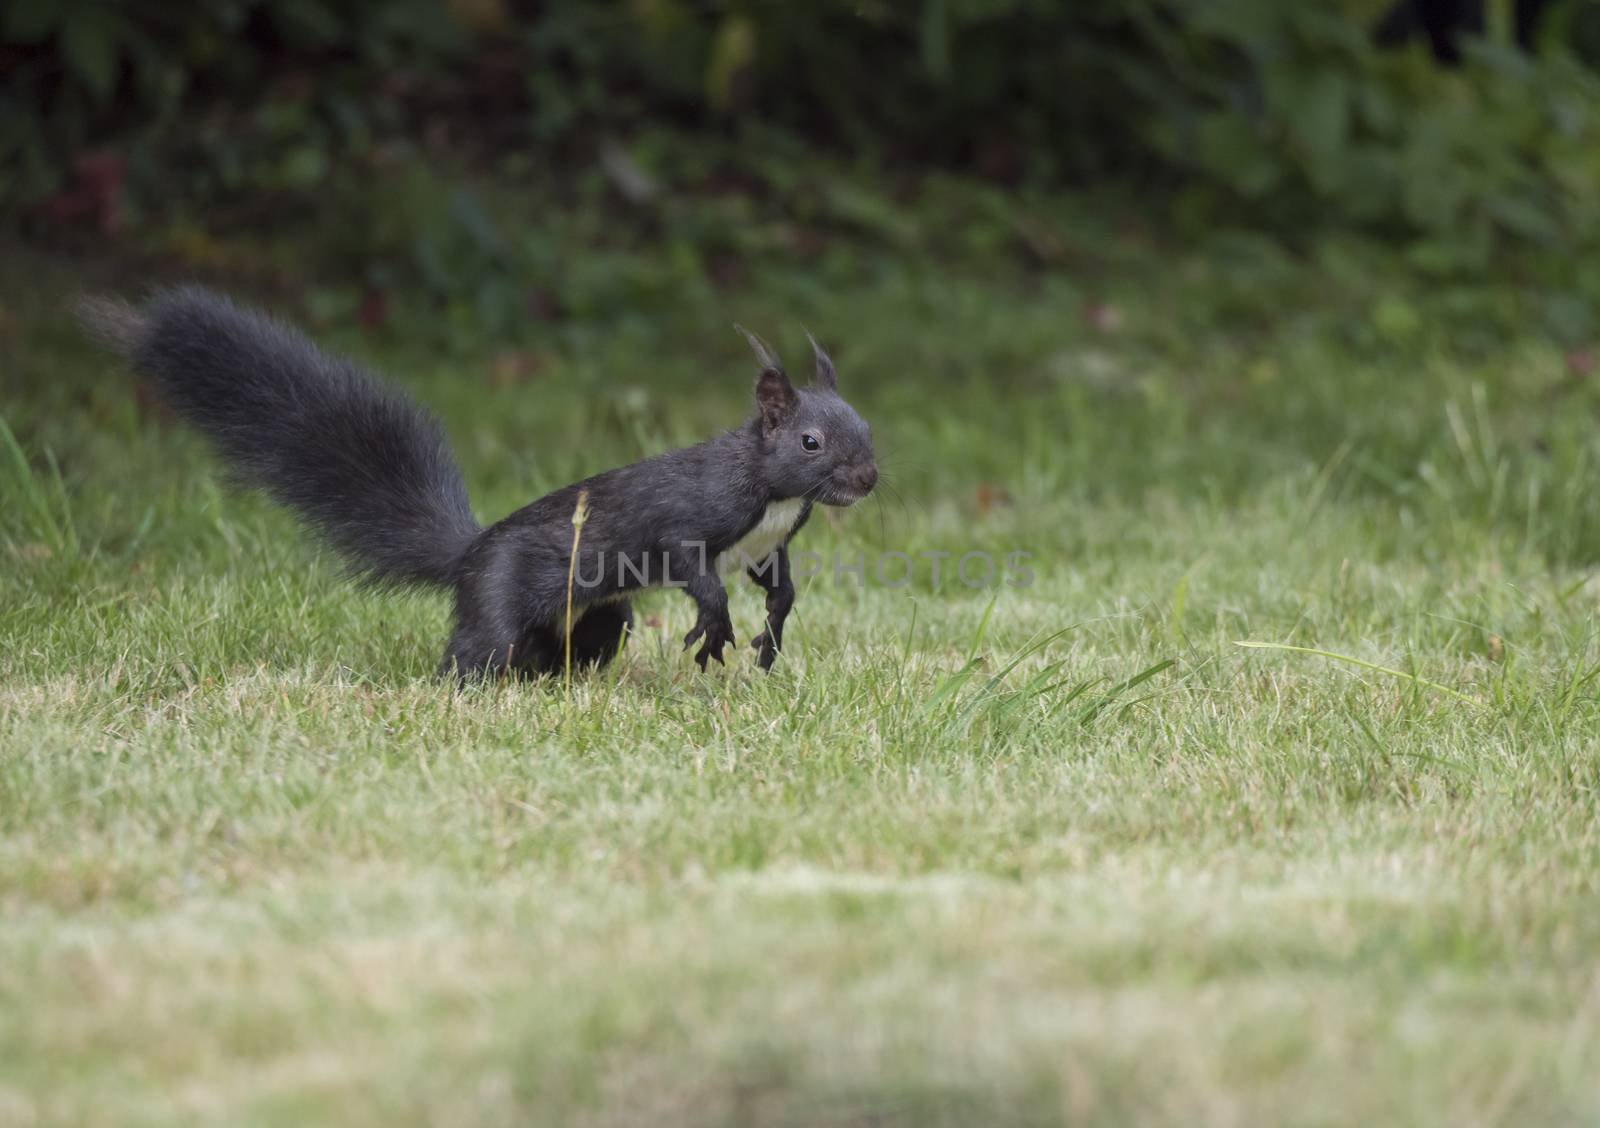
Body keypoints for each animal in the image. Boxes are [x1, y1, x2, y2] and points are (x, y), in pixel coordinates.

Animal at [75, 288, 876, 678]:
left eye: (866, 425)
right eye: (811, 441)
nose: (867, 478)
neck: (775, 494)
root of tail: (466, 556)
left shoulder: (770, 543)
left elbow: (781, 587)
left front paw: (771, 634)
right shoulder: (693, 514)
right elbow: (694, 569)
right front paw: (715, 632)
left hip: (601, 617)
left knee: (569, 649)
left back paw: (556, 684)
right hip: (497, 599)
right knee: (474, 651)